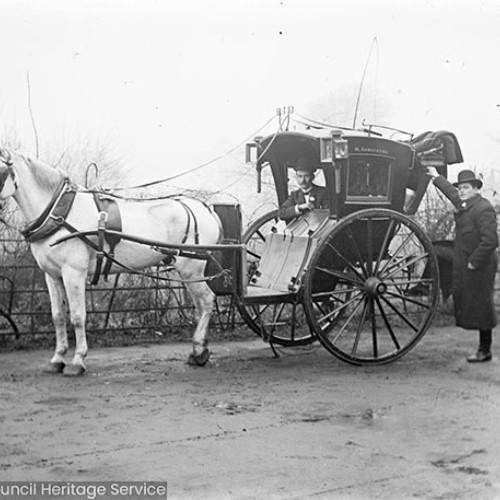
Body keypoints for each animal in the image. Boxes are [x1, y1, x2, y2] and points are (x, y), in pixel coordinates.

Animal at [0, 148, 223, 376]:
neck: (59, 214)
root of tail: (205, 209)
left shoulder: (74, 273)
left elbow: (78, 316)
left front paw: (78, 361)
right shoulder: (52, 275)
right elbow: (58, 316)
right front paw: (57, 358)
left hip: (191, 269)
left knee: (206, 301)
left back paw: (199, 350)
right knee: (200, 305)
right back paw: (199, 351)